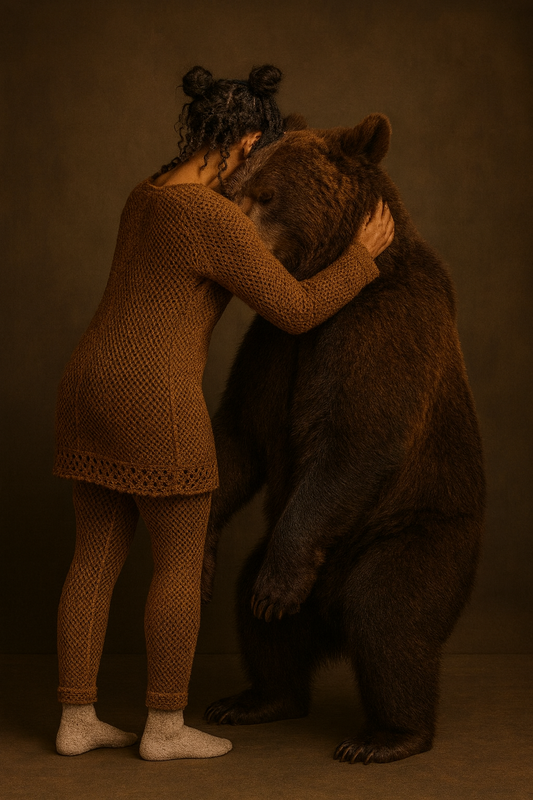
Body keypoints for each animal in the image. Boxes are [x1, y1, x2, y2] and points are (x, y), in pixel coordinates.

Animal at [201, 113, 485, 764]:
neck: (326, 282)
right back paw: (256, 698)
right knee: (260, 622)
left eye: (266, 196)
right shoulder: (279, 341)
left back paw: (386, 736)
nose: (231, 234)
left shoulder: (381, 326)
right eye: (236, 190)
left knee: (389, 617)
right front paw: (202, 535)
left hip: (417, 531)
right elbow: (242, 434)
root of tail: (327, 613)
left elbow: (357, 442)